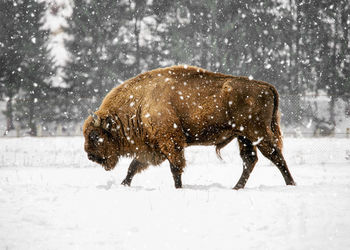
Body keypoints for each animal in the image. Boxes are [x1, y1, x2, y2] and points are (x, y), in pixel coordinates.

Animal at [84, 65, 296, 188]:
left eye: (94, 135)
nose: (90, 156)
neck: (141, 102)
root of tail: (265, 86)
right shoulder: (152, 147)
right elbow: (133, 166)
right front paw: (123, 185)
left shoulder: (171, 142)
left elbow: (175, 167)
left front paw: (179, 188)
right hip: (243, 136)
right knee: (250, 160)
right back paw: (236, 187)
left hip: (257, 132)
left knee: (275, 156)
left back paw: (290, 184)